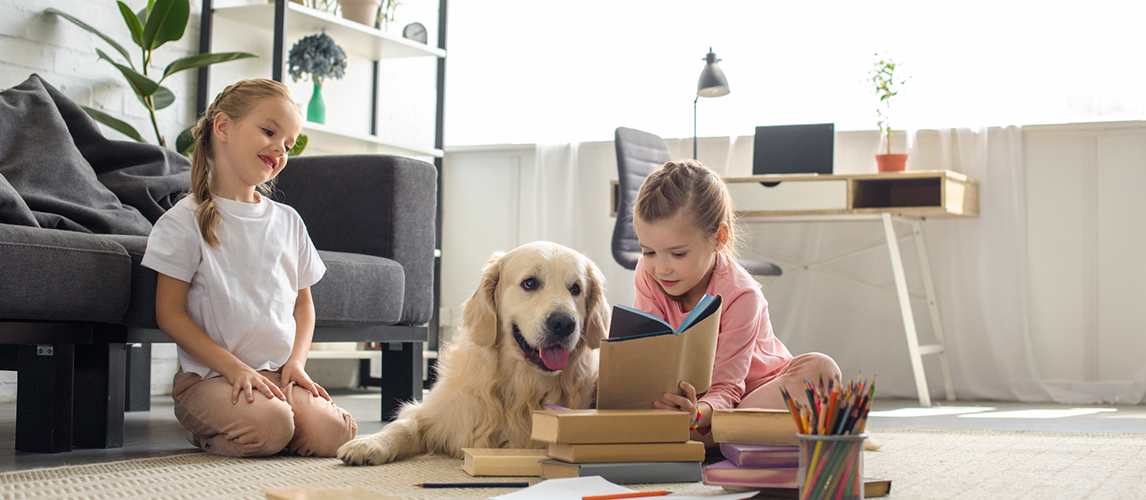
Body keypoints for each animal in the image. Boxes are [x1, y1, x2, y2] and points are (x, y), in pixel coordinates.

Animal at [334, 241, 609, 465]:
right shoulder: (440, 415)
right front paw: (368, 443)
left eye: (576, 288)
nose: (564, 323)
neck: (522, 388)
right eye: (530, 283)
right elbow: (403, 425)